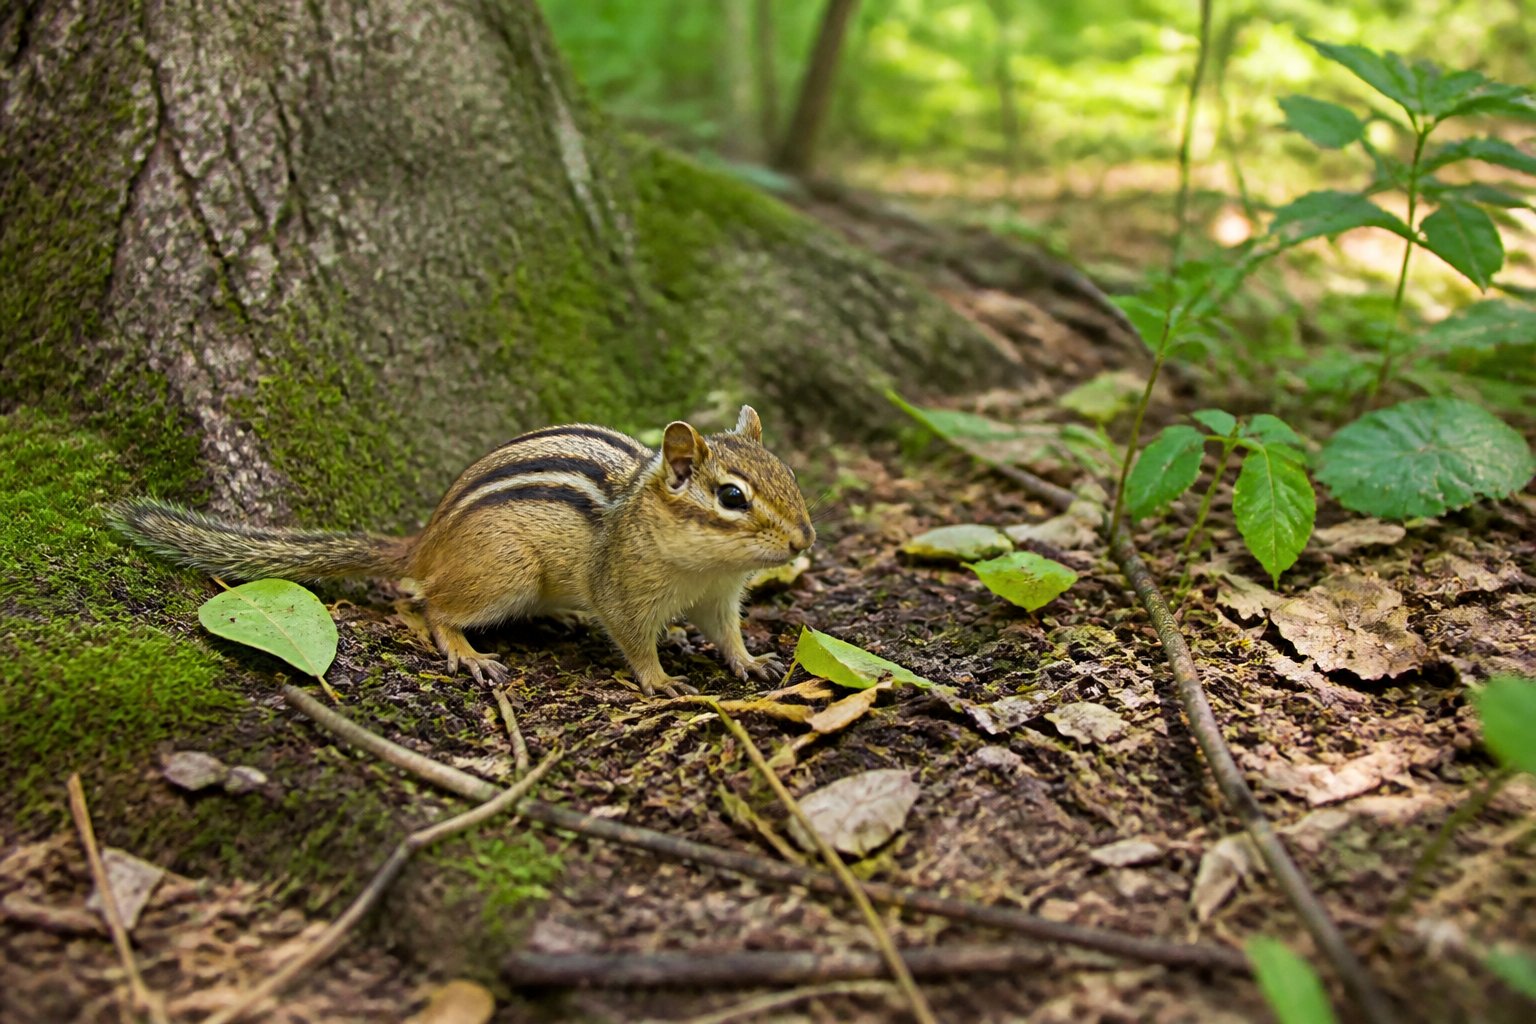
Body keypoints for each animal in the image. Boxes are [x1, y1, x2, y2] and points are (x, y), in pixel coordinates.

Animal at [112, 405, 815, 696]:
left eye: (788, 474)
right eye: (731, 496)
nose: (805, 540)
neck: (704, 568)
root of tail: (425, 542)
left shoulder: (719, 599)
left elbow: (727, 635)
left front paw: (751, 662)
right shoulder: (624, 592)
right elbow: (634, 641)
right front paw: (661, 676)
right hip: (508, 570)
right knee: (430, 605)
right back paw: (467, 651)